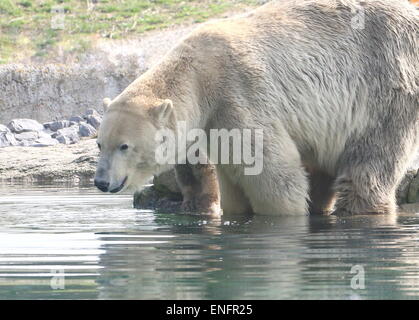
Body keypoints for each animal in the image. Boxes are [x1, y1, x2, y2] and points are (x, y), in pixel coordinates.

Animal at [94, 0, 419, 216]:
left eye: (124, 146)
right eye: (100, 143)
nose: (100, 181)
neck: (199, 77)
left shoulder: (239, 94)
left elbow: (274, 175)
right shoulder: (212, 125)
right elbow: (229, 182)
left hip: (385, 89)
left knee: (370, 164)